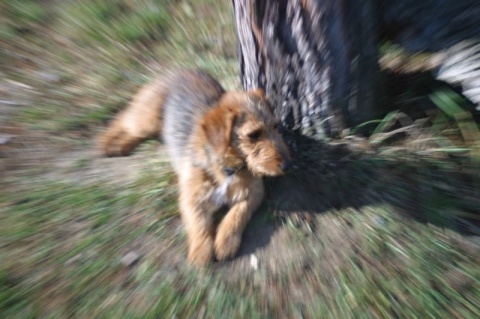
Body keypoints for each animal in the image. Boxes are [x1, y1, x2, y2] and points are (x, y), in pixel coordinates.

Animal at [99, 70, 290, 268]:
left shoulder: (254, 193)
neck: (227, 166)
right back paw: (109, 143)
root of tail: (177, 70)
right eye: (254, 135)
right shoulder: (191, 198)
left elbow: (237, 215)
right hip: (146, 121)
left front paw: (225, 242)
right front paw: (201, 252)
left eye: (276, 126)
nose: (287, 165)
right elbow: (199, 224)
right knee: (123, 119)